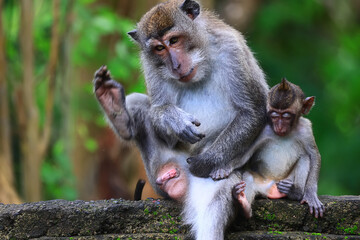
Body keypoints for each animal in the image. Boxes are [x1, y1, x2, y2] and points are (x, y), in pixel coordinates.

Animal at [94, 0, 268, 238]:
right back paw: (115, 109)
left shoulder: (231, 48)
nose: (175, 66)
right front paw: (172, 118)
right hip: (156, 171)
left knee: (214, 203)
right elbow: (158, 108)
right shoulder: (150, 64)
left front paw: (204, 163)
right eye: (159, 49)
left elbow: (252, 110)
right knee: (140, 105)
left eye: (174, 40)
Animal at [233, 79, 326, 219]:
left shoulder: (306, 129)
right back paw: (244, 206)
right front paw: (222, 169)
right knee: (248, 176)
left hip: (286, 180)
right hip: (260, 182)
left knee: (305, 158)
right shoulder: (263, 129)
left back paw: (294, 192)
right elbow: (244, 155)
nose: (279, 127)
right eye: (274, 115)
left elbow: (314, 155)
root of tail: (271, 187)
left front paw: (310, 195)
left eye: (286, 116)